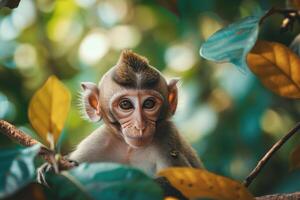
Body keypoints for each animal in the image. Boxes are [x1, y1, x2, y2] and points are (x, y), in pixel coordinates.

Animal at [69, 50, 203, 177]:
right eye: (125, 104)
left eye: (149, 103)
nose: (140, 126)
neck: (130, 148)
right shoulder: (94, 145)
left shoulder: (167, 139)